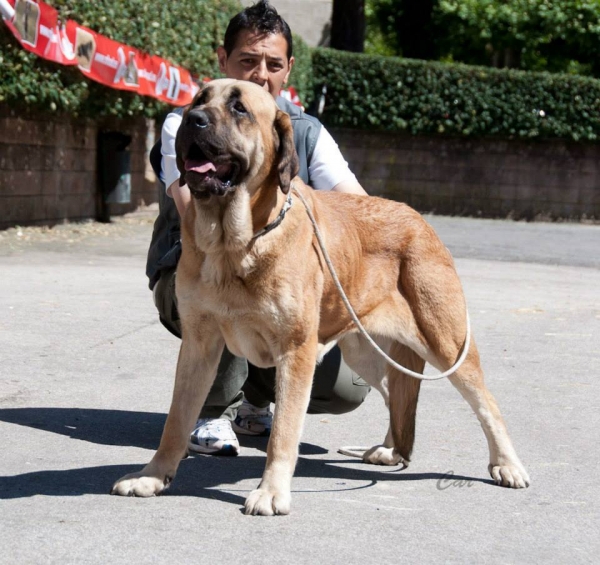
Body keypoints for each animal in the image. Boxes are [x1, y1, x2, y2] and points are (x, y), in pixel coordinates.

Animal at [112, 79, 528, 516]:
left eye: (239, 108)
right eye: (198, 99)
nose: (192, 120)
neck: (235, 243)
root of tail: (420, 220)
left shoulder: (295, 352)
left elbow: (283, 431)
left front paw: (271, 491)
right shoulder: (199, 345)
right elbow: (175, 420)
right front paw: (153, 476)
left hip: (445, 345)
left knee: (486, 404)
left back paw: (507, 465)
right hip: (365, 354)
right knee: (397, 393)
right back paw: (390, 449)